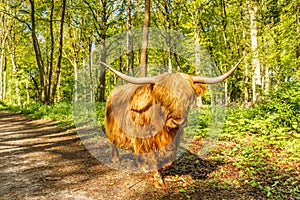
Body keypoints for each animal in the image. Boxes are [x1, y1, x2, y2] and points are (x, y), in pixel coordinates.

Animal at [102, 60, 243, 188]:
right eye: (163, 98)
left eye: (189, 98)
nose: (178, 121)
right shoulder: (146, 137)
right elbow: (152, 157)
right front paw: (158, 181)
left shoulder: (175, 137)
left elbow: (170, 158)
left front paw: (163, 168)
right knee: (113, 142)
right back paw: (116, 160)